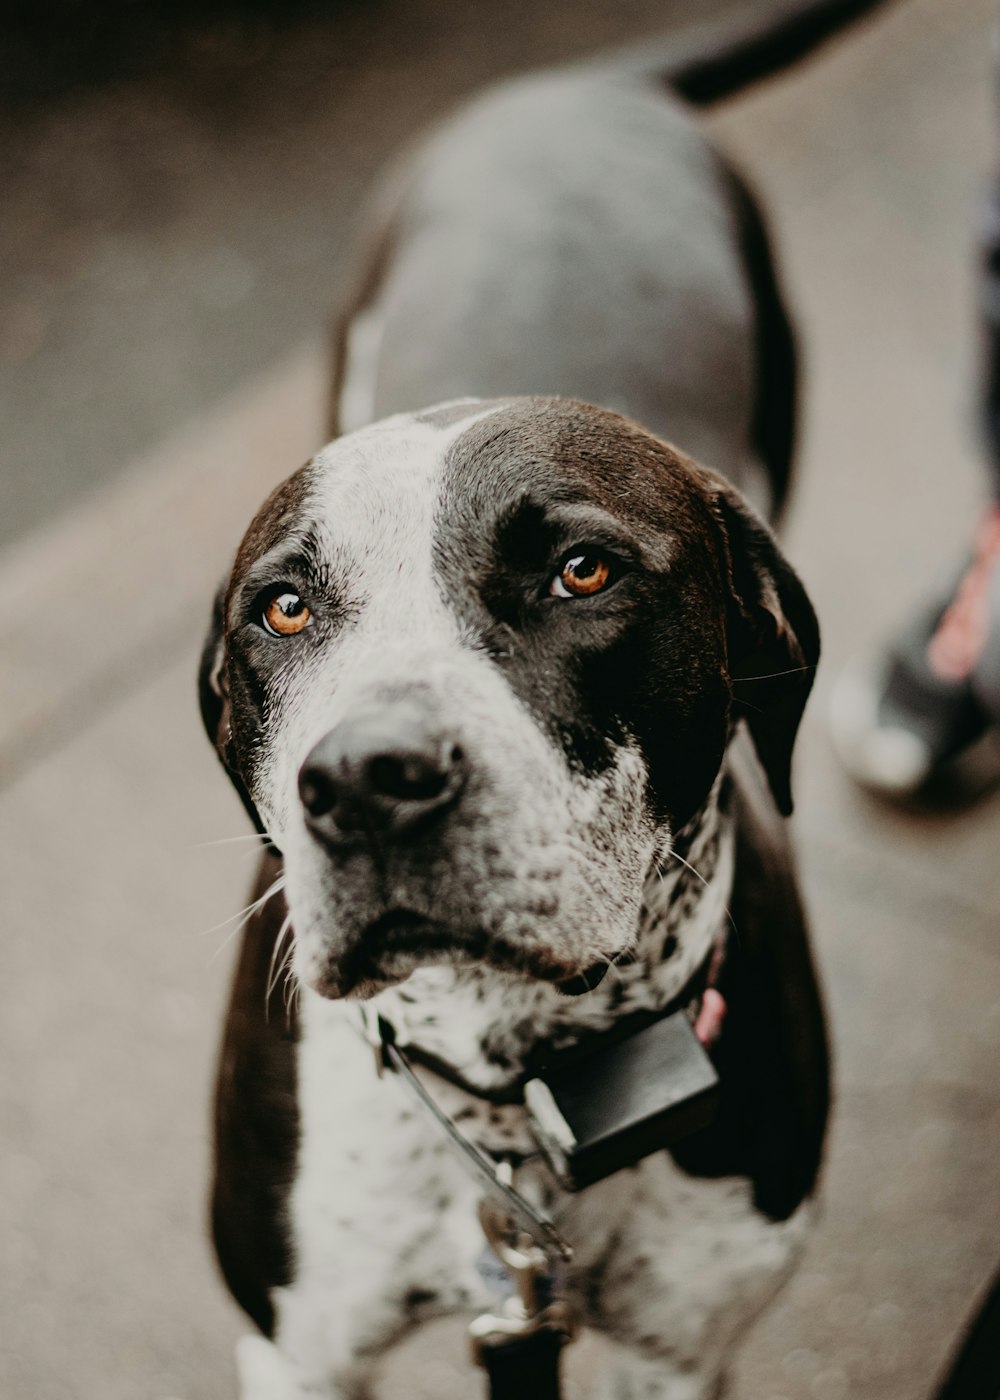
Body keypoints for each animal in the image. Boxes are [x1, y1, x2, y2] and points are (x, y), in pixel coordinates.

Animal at [193, 5, 879, 1394]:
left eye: (582, 571)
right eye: (283, 607)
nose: (366, 781)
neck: (513, 1103)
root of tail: (575, 86)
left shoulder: (674, 1355)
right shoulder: (294, 1347)